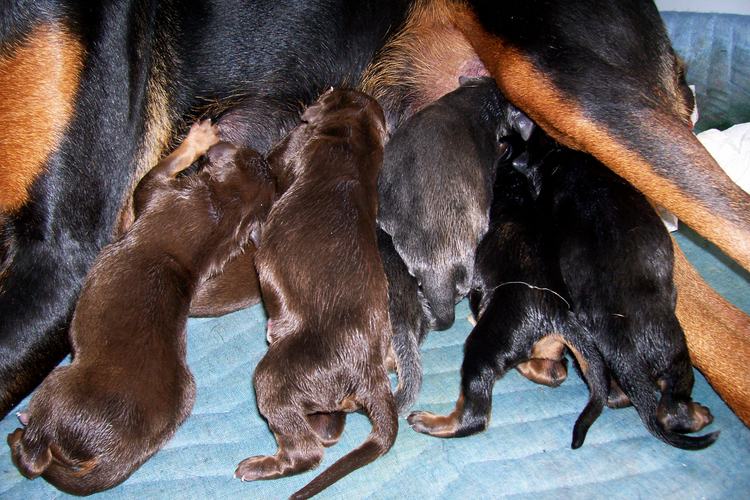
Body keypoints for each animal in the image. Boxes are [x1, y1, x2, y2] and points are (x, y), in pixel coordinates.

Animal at [8, 122, 276, 496]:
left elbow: (161, 169)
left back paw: (21, 431)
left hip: (56, 385)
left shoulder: (154, 190)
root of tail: (112, 456)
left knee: (35, 457)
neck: (222, 209)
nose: (264, 156)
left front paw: (198, 139)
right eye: (258, 160)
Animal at [238, 90, 396, 500]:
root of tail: (371, 373)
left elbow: (273, 160)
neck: (355, 138)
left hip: (275, 376)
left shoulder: (288, 149)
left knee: (306, 452)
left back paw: (256, 467)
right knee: (325, 433)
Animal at [406, 158, 612, 448]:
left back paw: (430, 422)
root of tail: (557, 314)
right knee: (557, 371)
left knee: (475, 414)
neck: (518, 193)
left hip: (487, 342)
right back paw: (524, 365)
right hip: (545, 347)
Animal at [528, 133, 724, 450]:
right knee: (669, 408)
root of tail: (624, 350)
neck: (555, 162)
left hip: (598, 359)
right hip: (674, 356)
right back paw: (699, 415)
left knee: (615, 395)